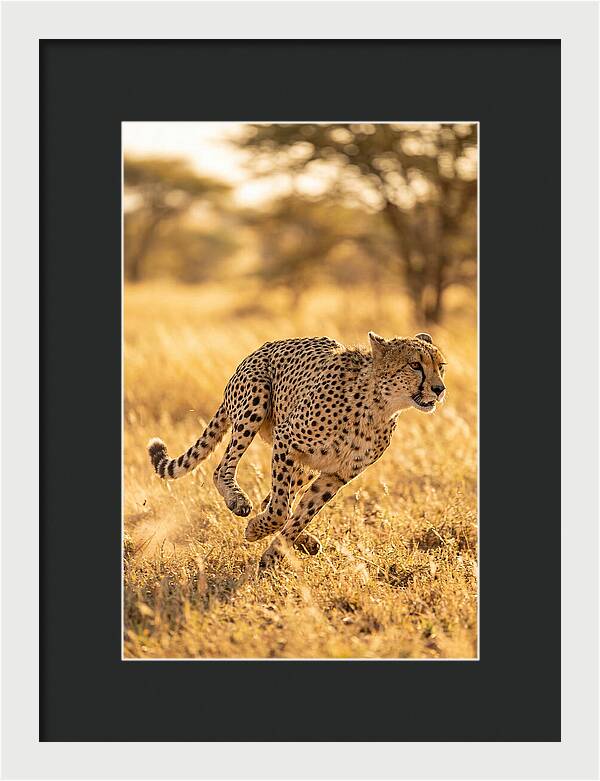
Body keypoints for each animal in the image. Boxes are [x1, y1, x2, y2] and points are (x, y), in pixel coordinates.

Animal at [147, 331, 446, 570]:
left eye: (440, 366)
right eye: (415, 365)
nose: (439, 388)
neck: (379, 406)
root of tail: (258, 350)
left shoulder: (336, 475)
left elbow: (302, 513)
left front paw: (274, 553)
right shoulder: (287, 440)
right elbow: (280, 509)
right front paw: (256, 530)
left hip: (306, 465)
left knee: (273, 499)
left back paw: (305, 541)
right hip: (255, 401)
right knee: (223, 469)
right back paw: (238, 500)